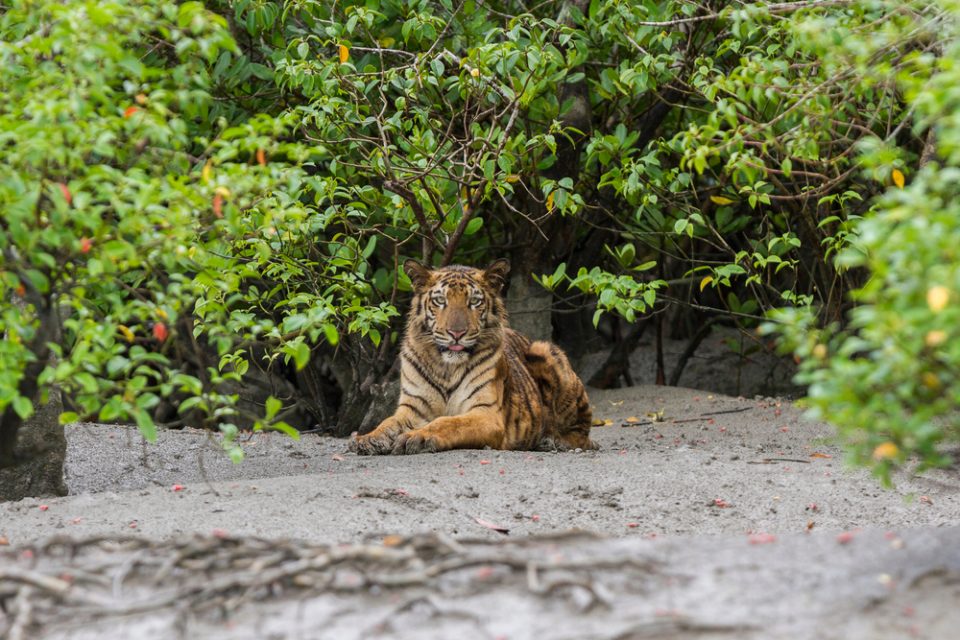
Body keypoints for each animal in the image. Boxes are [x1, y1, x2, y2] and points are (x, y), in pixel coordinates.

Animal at [352, 258, 592, 456]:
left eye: (474, 302)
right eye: (440, 301)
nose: (456, 333)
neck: (446, 368)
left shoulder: (486, 413)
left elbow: (447, 422)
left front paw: (417, 437)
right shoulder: (412, 409)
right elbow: (388, 423)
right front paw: (367, 439)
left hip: (545, 351)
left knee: (581, 432)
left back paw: (553, 441)